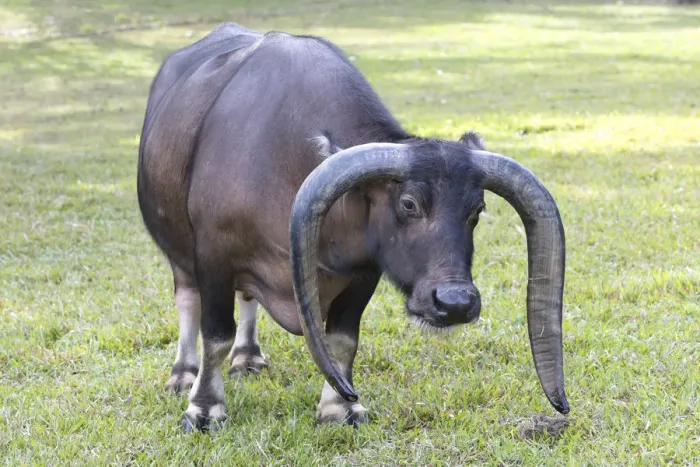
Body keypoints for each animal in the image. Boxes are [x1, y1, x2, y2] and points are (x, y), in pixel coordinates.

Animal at [137, 22, 569, 431]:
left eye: (476, 210)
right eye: (408, 203)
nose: (456, 302)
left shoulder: (363, 273)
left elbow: (343, 339)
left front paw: (339, 407)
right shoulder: (214, 257)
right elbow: (215, 336)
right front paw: (204, 409)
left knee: (247, 299)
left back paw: (248, 358)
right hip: (179, 253)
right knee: (187, 300)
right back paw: (183, 374)